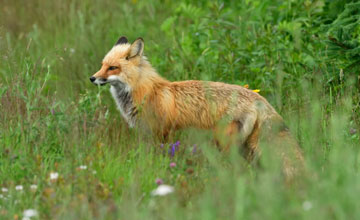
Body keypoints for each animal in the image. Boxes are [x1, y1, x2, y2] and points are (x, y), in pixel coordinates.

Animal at [89, 37, 300, 168]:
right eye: (102, 65)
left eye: (112, 68)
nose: (92, 78)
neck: (145, 91)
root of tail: (259, 98)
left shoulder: (160, 133)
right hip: (246, 146)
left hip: (226, 143)